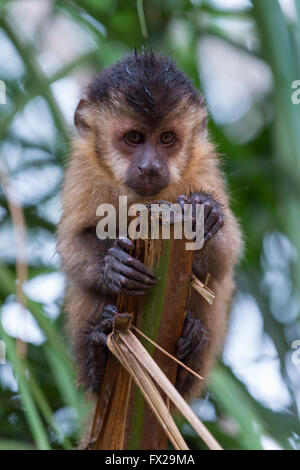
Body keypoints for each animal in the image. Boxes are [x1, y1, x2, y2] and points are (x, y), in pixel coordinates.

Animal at [57, 47, 243, 422]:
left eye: (167, 139)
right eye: (134, 138)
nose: (151, 167)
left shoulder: (202, 164)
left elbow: (226, 260)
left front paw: (206, 213)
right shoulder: (84, 168)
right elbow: (71, 243)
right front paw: (114, 267)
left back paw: (190, 349)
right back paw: (98, 357)